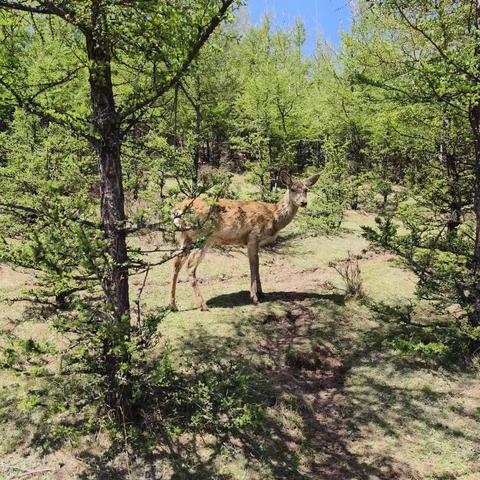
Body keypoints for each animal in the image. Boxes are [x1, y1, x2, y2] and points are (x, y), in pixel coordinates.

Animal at [169, 172, 318, 312]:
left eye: (306, 189)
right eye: (292, 189)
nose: (304, 202)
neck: (274, 216)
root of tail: (177, 210)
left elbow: (257, 265)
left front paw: (262, 293)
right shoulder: (253, 235)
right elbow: (254, 265)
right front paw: (255, 297)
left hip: (184, 238)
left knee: (176, 263)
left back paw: (173, 305)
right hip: (202, 236)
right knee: (190, 266)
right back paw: (203, 305)